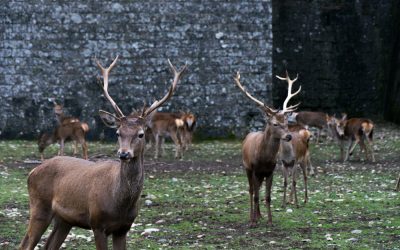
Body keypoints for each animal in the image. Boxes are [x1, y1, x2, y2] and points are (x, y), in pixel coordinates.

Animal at [19, 56, 188, 250]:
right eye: (118, 133)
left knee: (49, 245)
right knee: (25, 244)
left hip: (64, 219)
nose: (123, 154)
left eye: (141, 134)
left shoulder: (123, 228)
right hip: (39, 206)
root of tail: (32, 172)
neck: (120, 204)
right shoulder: (97, 223)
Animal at [234, 70, 300, 227]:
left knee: (258, 189)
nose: (288, 136)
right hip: (247, 168)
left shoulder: (270, 171)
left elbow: (268, 196)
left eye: (286, 123)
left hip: (261, 175)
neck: (263, 158)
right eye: (275, 124)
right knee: (252, 191)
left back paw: (259, 215)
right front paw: (252, 222)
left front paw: (270, 221)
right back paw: (252, 217)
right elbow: (255, 195)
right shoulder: (253, 169)